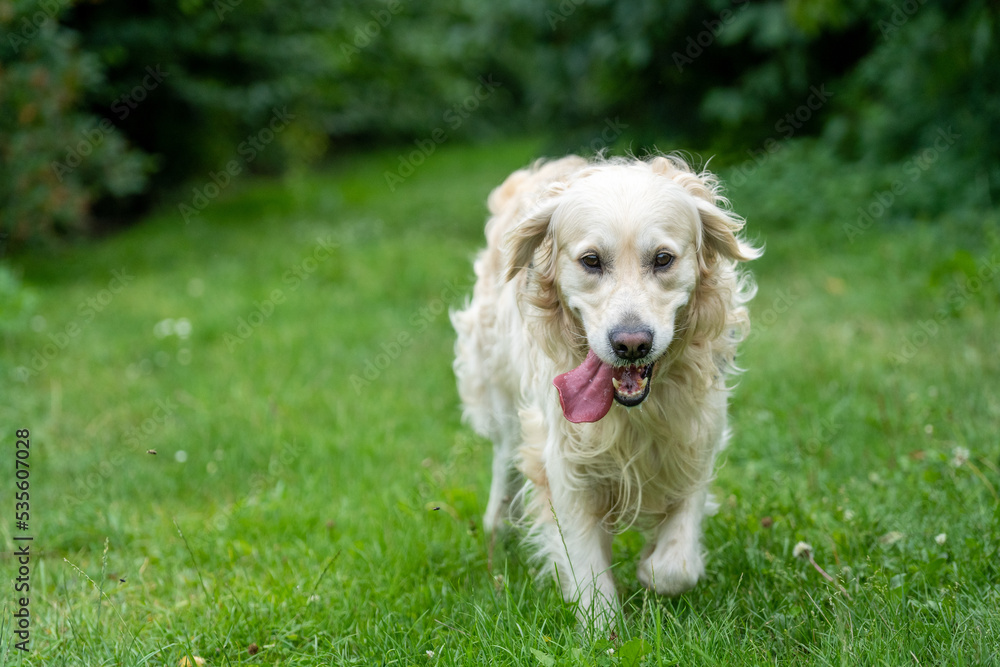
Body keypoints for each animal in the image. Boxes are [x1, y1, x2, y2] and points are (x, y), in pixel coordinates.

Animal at [450, 154, 760, 624]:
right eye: (591, 260)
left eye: (663, 259)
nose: (631, 344)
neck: (633, 411)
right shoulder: (565, 459)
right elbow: (587, 566)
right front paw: (603, 629)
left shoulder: (698, 434)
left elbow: (677, 563)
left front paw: (652, 565)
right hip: (498, 391)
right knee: (506, 456)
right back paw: (497, 523)